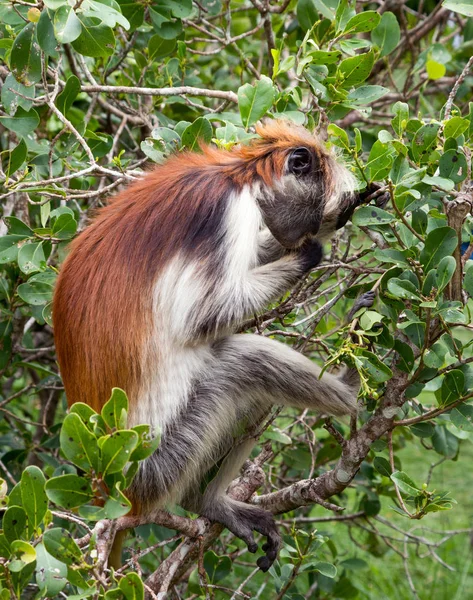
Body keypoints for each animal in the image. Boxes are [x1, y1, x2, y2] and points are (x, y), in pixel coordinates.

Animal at [51, 118, 376, 572]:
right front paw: (311, 250)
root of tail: (112, 490)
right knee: (242, 362)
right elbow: (202, 316)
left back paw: (204, 502)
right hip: (160, 464)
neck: (237, 174)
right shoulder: (228, 211)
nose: (309, 230)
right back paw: (347, 388)